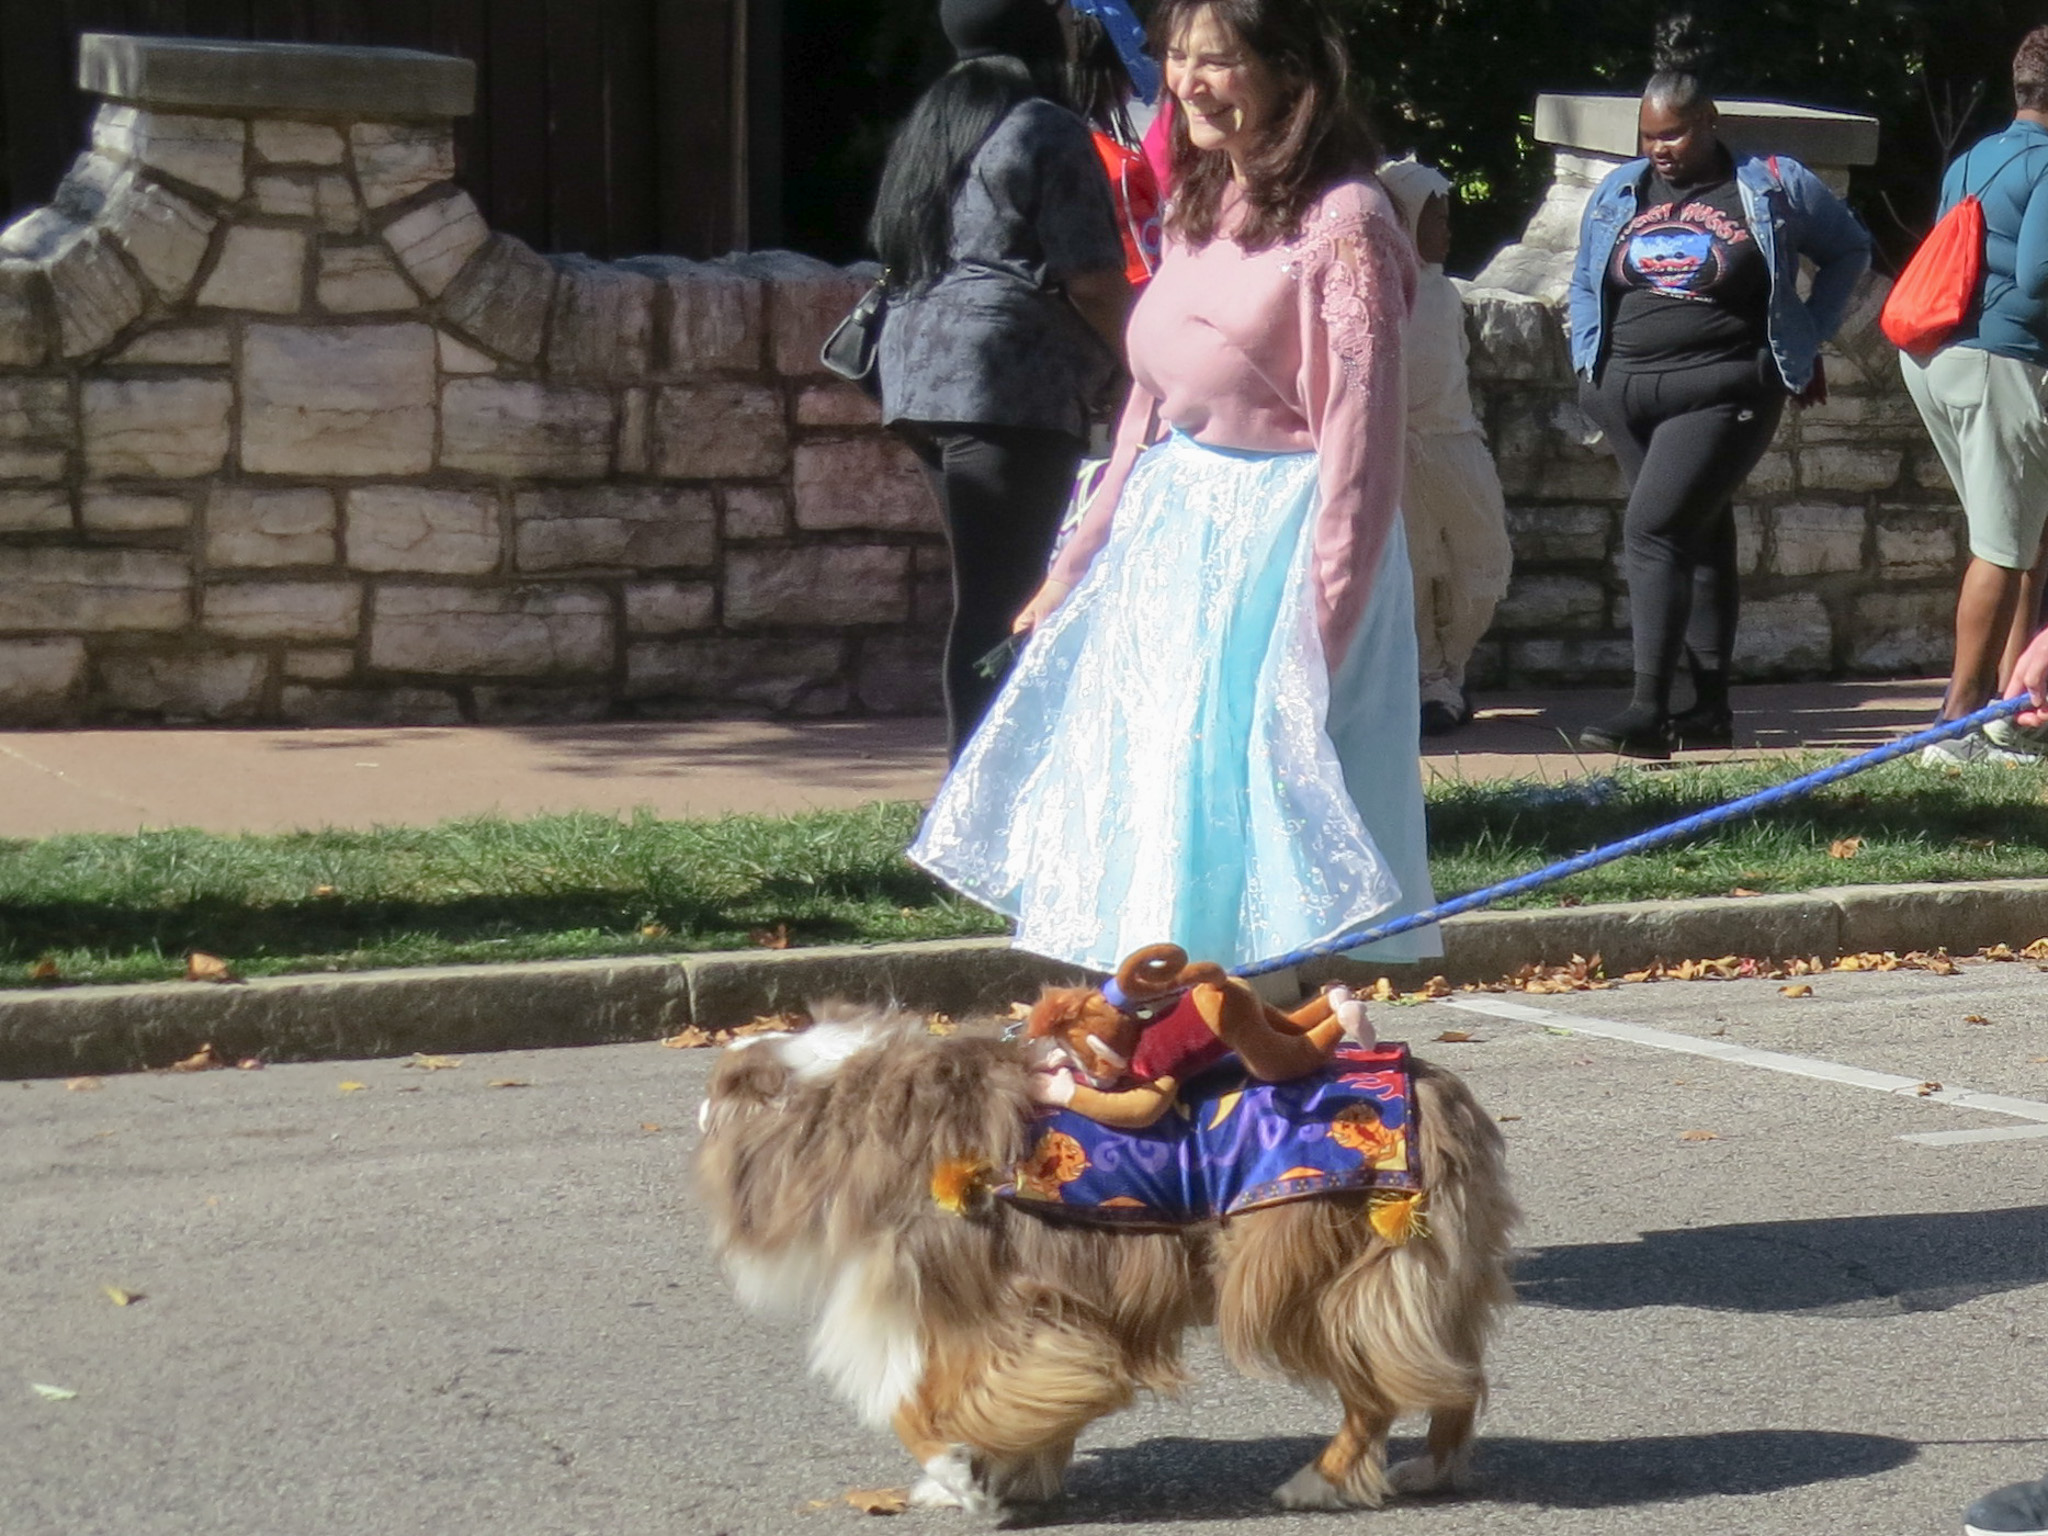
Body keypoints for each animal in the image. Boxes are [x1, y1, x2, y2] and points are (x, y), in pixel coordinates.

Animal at [696, 1011, 1515, 1515]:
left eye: (719, 1095)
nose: (698, 1111)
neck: (852, 1110)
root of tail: (1426, 1085)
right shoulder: (1046, 1311)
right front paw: (1003, 1471)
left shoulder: (987, 1308)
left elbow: (914, 1407)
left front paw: (959, 1476)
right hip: (1418, 1276)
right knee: (1457, 1375)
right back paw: (1432, 1468)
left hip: (1297, 1275)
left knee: (1376, 1393)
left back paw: (1319, 1481)